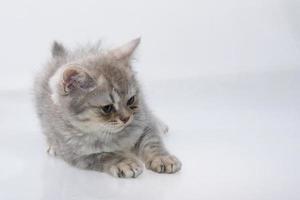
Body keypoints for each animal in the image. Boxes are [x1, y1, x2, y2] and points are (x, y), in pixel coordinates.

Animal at [34, 38, 182, 178]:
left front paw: (162, 158)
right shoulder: (77, 154)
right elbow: (106, 155)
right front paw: (124, 163)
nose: (126, 118)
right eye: (107, 108)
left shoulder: (144, 122)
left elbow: (152, 142)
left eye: (131, 100)